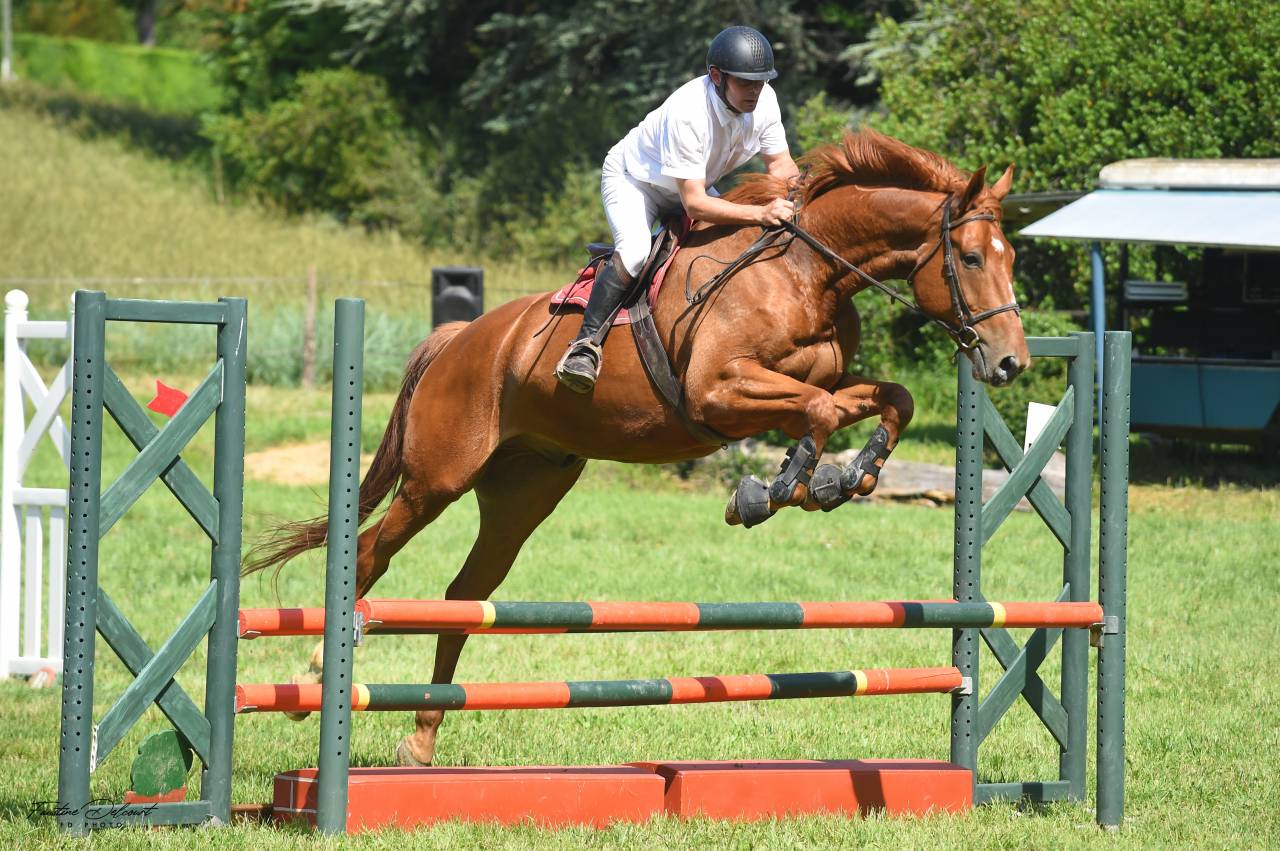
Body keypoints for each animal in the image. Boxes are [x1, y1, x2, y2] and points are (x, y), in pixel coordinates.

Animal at [244, 128, 1029, 766]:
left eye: (1011, 257)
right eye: (968, 256)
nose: (1009, 364)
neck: (805, 274)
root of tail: (459, 338)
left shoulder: (808, 383)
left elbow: (882, 399)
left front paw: (844, 478)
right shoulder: (720, 393)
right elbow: (818, 410)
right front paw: (773, 491)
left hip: (522, 495)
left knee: (464, 598)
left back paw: (420, 740)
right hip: (436, 478)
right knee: (370, 554)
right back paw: (317, 673)